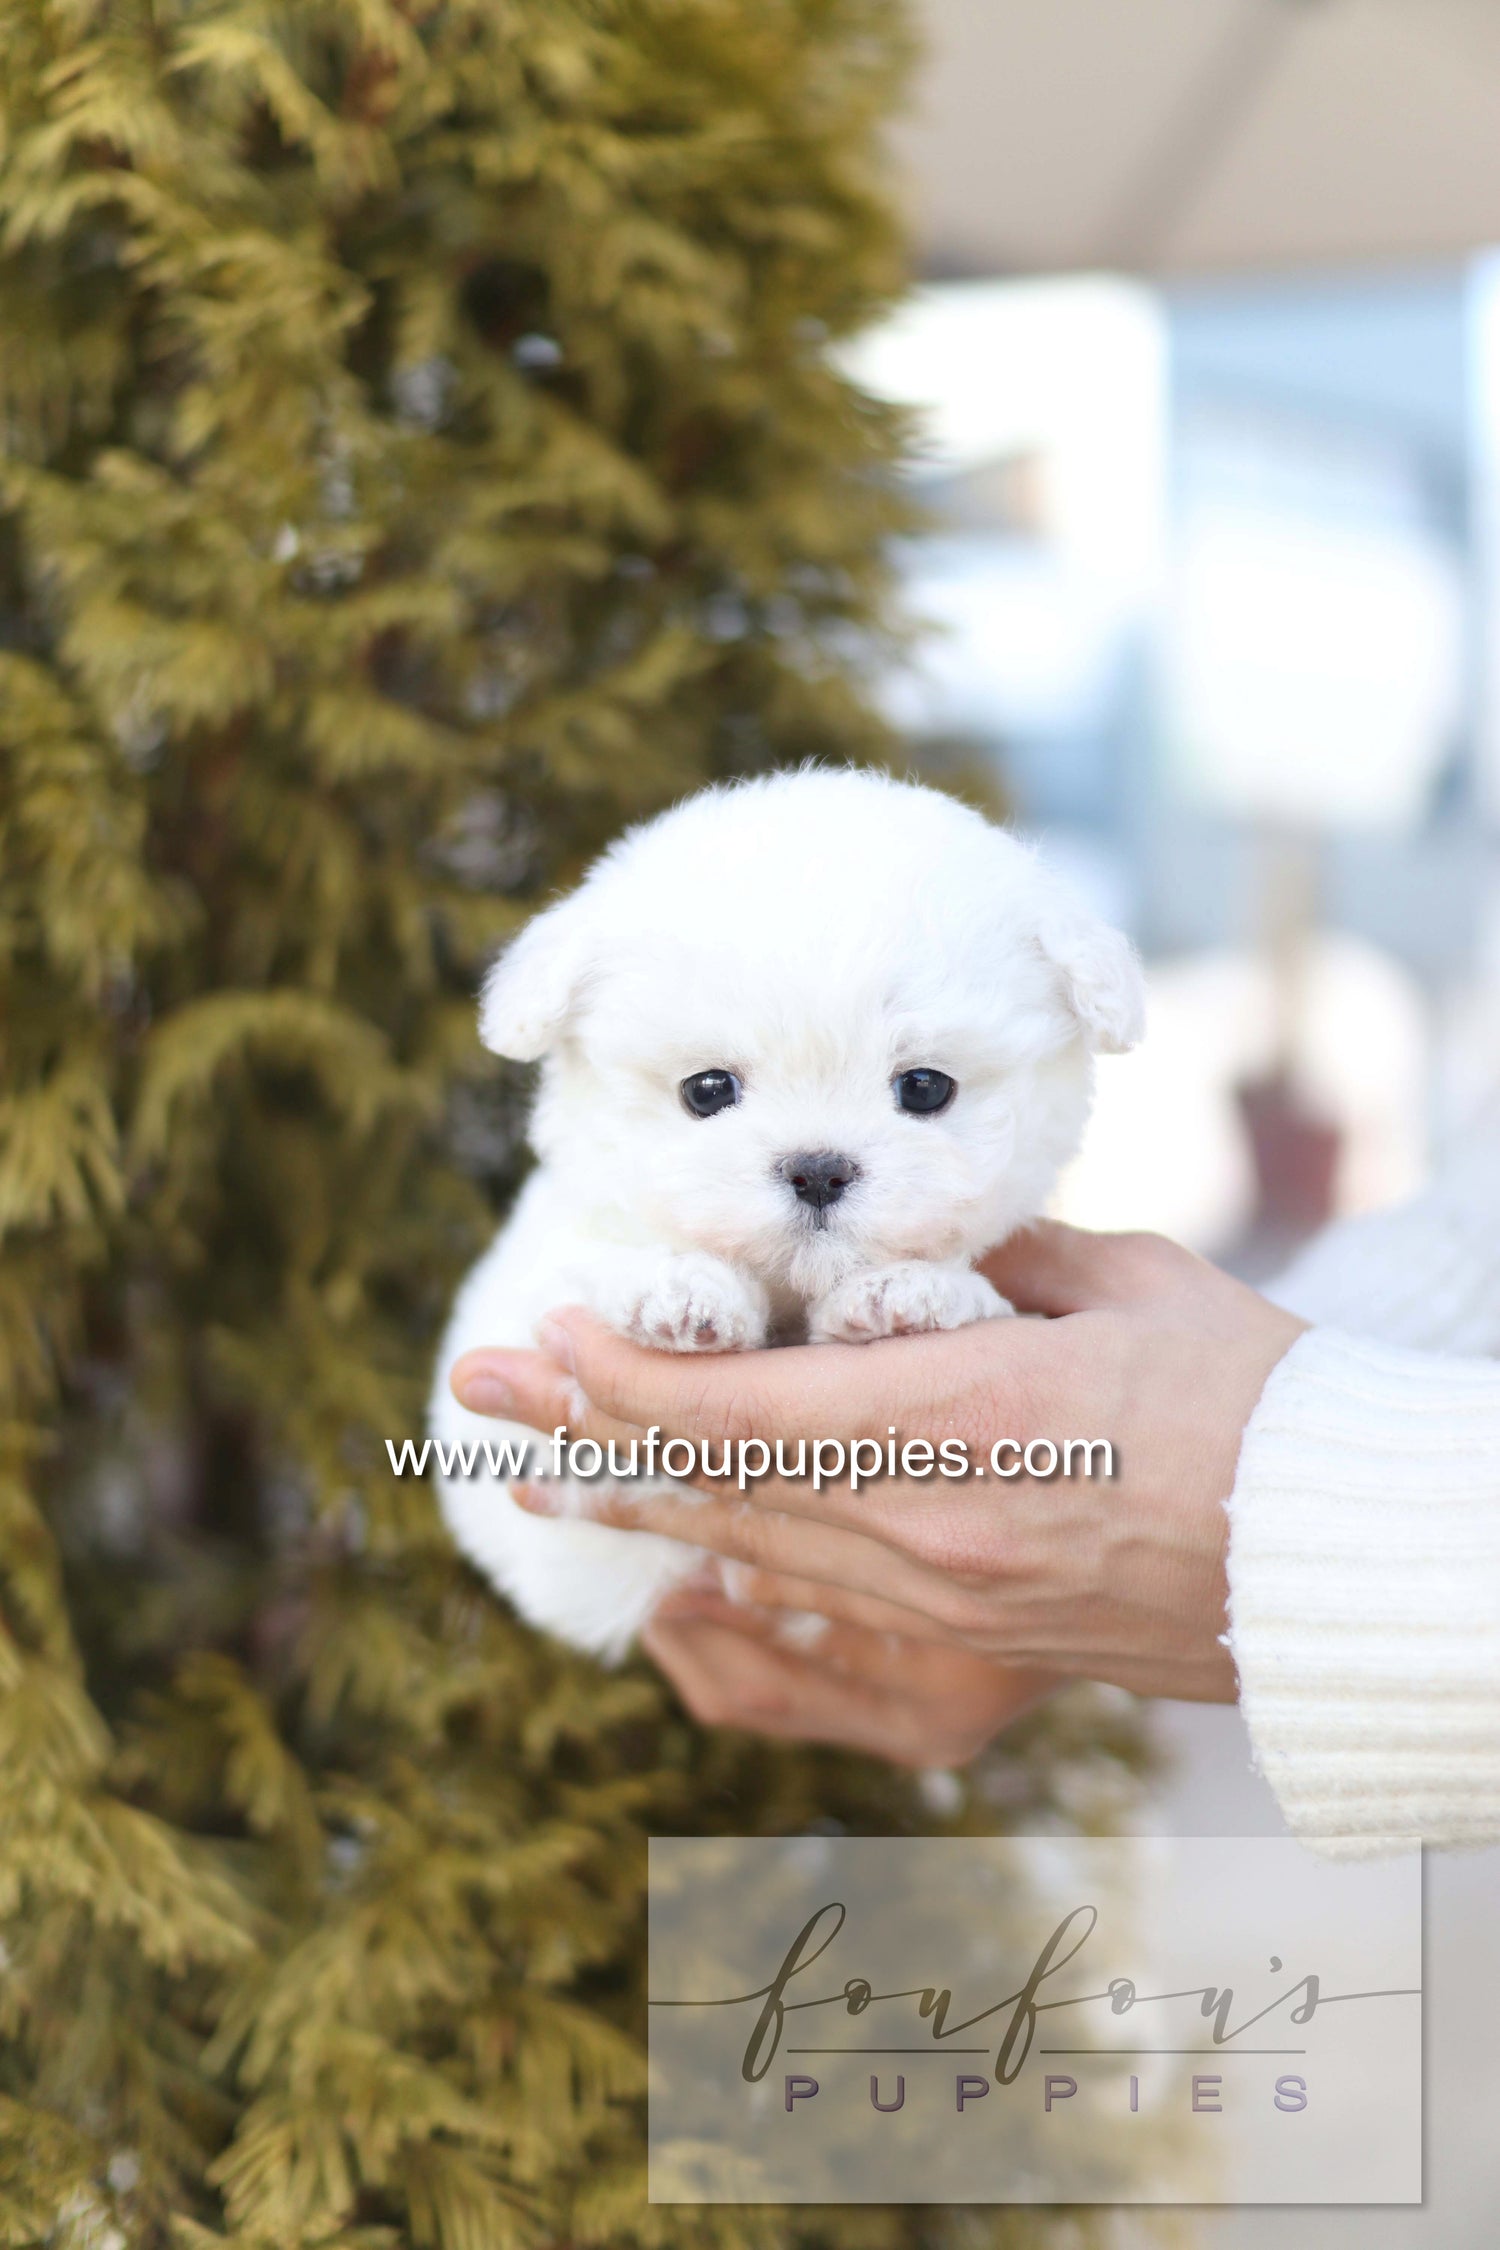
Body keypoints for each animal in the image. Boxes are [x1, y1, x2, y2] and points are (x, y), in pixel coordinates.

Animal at [427, 765, 1142, 1665]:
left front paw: (909, 1296)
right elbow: (581, 1269)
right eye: (707, 1090)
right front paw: (678, 1293)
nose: (818, 1169)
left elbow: (991, 1300)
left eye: (925, 1087)